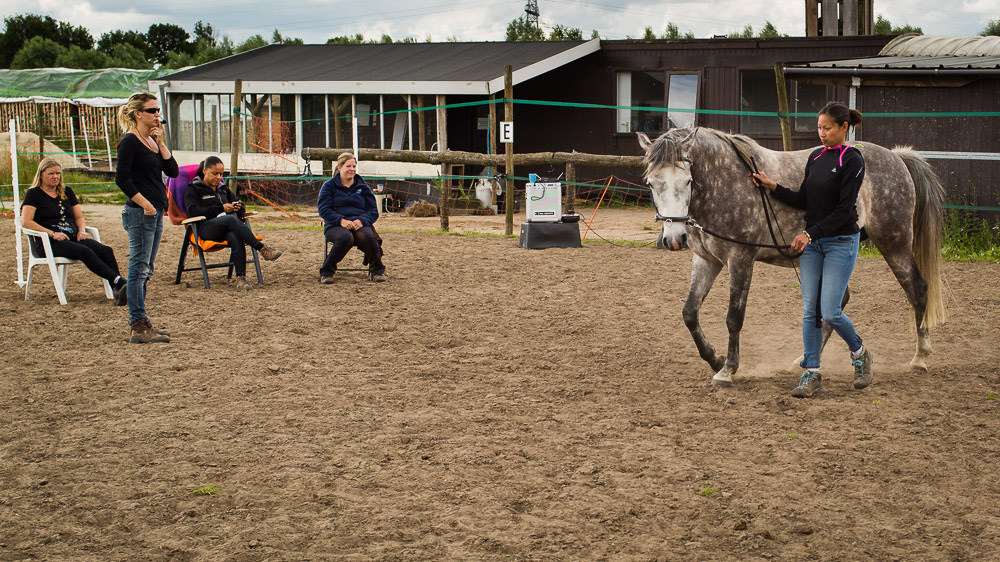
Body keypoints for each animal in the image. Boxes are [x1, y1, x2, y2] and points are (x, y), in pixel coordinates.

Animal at [640, 127, 944, 388]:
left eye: (688, 180)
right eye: (651, 183)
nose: (674, 238)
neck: (725, 180)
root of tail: (896, 157)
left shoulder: (740, 258)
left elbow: (734, 317)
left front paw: (727, 369)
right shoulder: (707, 260)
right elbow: (690, 313)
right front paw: (715, 359)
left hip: (895, 243)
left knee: (917, 290)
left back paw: (920, 358)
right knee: (836, 304)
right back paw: (803, 359)